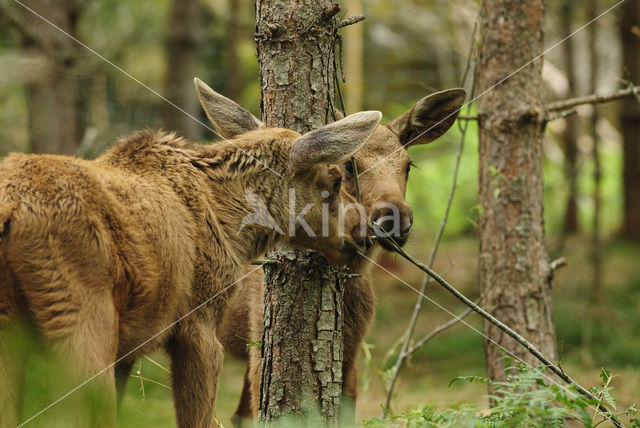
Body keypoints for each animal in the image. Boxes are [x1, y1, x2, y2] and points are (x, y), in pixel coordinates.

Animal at [0, 77, 380, 428]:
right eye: (335, 180)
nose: (365, 232)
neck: (233, 226)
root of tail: (11, 211)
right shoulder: (198, 325)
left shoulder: (128, 353)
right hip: (82, 326)